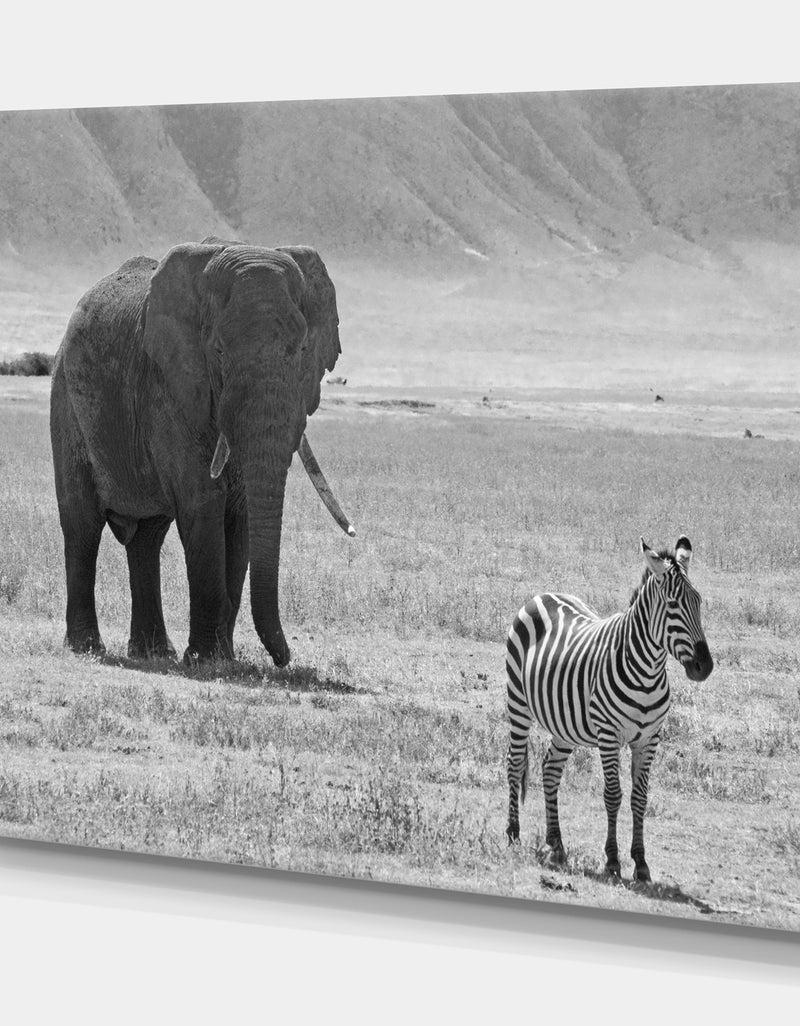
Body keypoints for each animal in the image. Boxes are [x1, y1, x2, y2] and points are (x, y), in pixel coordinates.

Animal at [50, 236, 354, 668]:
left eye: (302, 350)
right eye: (219, 351)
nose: (284, 659)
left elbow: (240, 514)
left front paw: (222, 659)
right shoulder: (170, 384)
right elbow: (203, 501)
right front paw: (207, 661)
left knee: (147, 538)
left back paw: (153, 652)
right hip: (66, 401)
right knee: (82, 525)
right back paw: (88, 648)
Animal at [505, 535, 713, 882]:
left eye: (698, 602)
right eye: (673, 606)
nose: (704, 667)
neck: (647, 671)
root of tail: (543, 594)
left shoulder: (649, 739)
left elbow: (640, 798)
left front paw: (641, 863)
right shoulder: (609, 735)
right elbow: (613, 795)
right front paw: (613, 860)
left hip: (565, 723)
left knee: (550, 769)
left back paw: (556, 844)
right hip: (517, 702)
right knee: (514, 761)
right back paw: (513, 835)